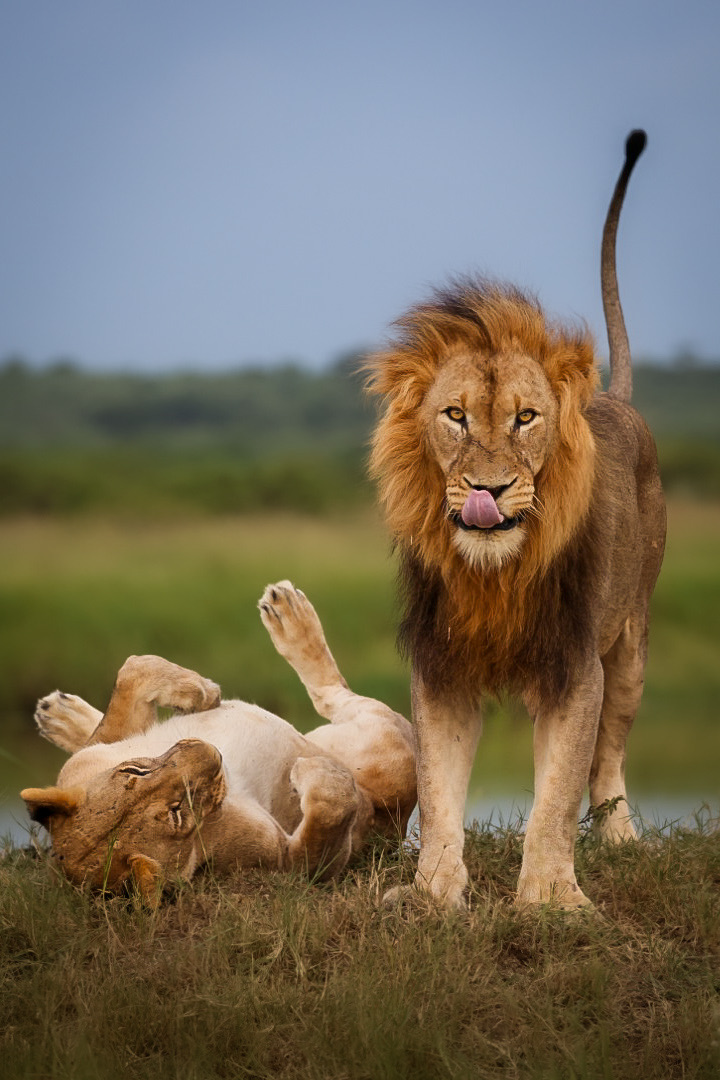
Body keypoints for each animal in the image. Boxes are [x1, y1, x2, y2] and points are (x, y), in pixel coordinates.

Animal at [21, 582, 417, 905]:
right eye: (176, 812)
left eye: (135, 771)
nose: (209, 751)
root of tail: (396, 814)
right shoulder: (284, 862)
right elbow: (328, 819)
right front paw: (312, 771)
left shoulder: (94, 755)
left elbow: (133, 671)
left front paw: (199, 693)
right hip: (393, 746)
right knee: (331, 694)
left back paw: (57, 714)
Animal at [367, 130, 666, 910]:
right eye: (455, 415)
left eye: (526, 418)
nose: (489, 488)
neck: (496, 572)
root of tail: (617, 400)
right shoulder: (440, 668)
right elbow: (439, 790)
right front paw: (433, 893)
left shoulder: (574, 666)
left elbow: (557, 792)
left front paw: (552, 899)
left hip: (632, 642)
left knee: (610, 756)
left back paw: (622, 837)